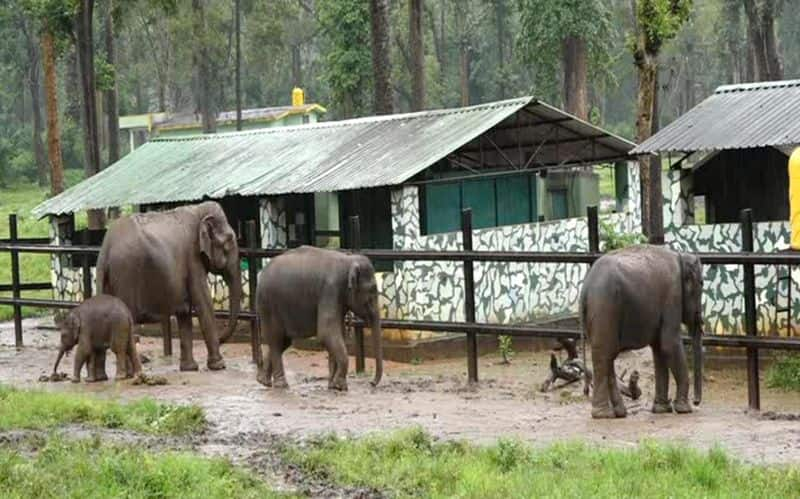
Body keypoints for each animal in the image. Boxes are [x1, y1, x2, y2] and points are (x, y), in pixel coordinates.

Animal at [97, 200, 241, 372]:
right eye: (229, 241)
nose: (222, 338)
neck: (198, 210)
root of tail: (105, 248)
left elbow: (184, 310)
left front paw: (190, 368)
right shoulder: (193, 258)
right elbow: (203, 300)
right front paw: (219, 366)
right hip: (125, 274)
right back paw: (133, 372)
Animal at [255, 246, 382, 390]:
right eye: (372, 292)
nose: (371, 383)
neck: (348, 260)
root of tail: (261, 274)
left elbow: (337, 333)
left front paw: (333, 386)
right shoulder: (331, 290)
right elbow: (326, 332)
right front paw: (341, 386)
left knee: (283, 341)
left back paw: (263, 381)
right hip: (268, 305)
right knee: (276, 340)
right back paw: (281, 385)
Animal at [580, 244, 704, 420]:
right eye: (702, 283)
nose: (696, 402)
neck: (680, 255)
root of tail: (585, 289)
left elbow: (659, 349)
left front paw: (661, 409)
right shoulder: (672, 295)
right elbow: (669, 344)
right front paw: (684, 410)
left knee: (607, 356)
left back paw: (619, 412)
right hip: (605, 308)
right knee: (604, 356)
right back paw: (603, 414)